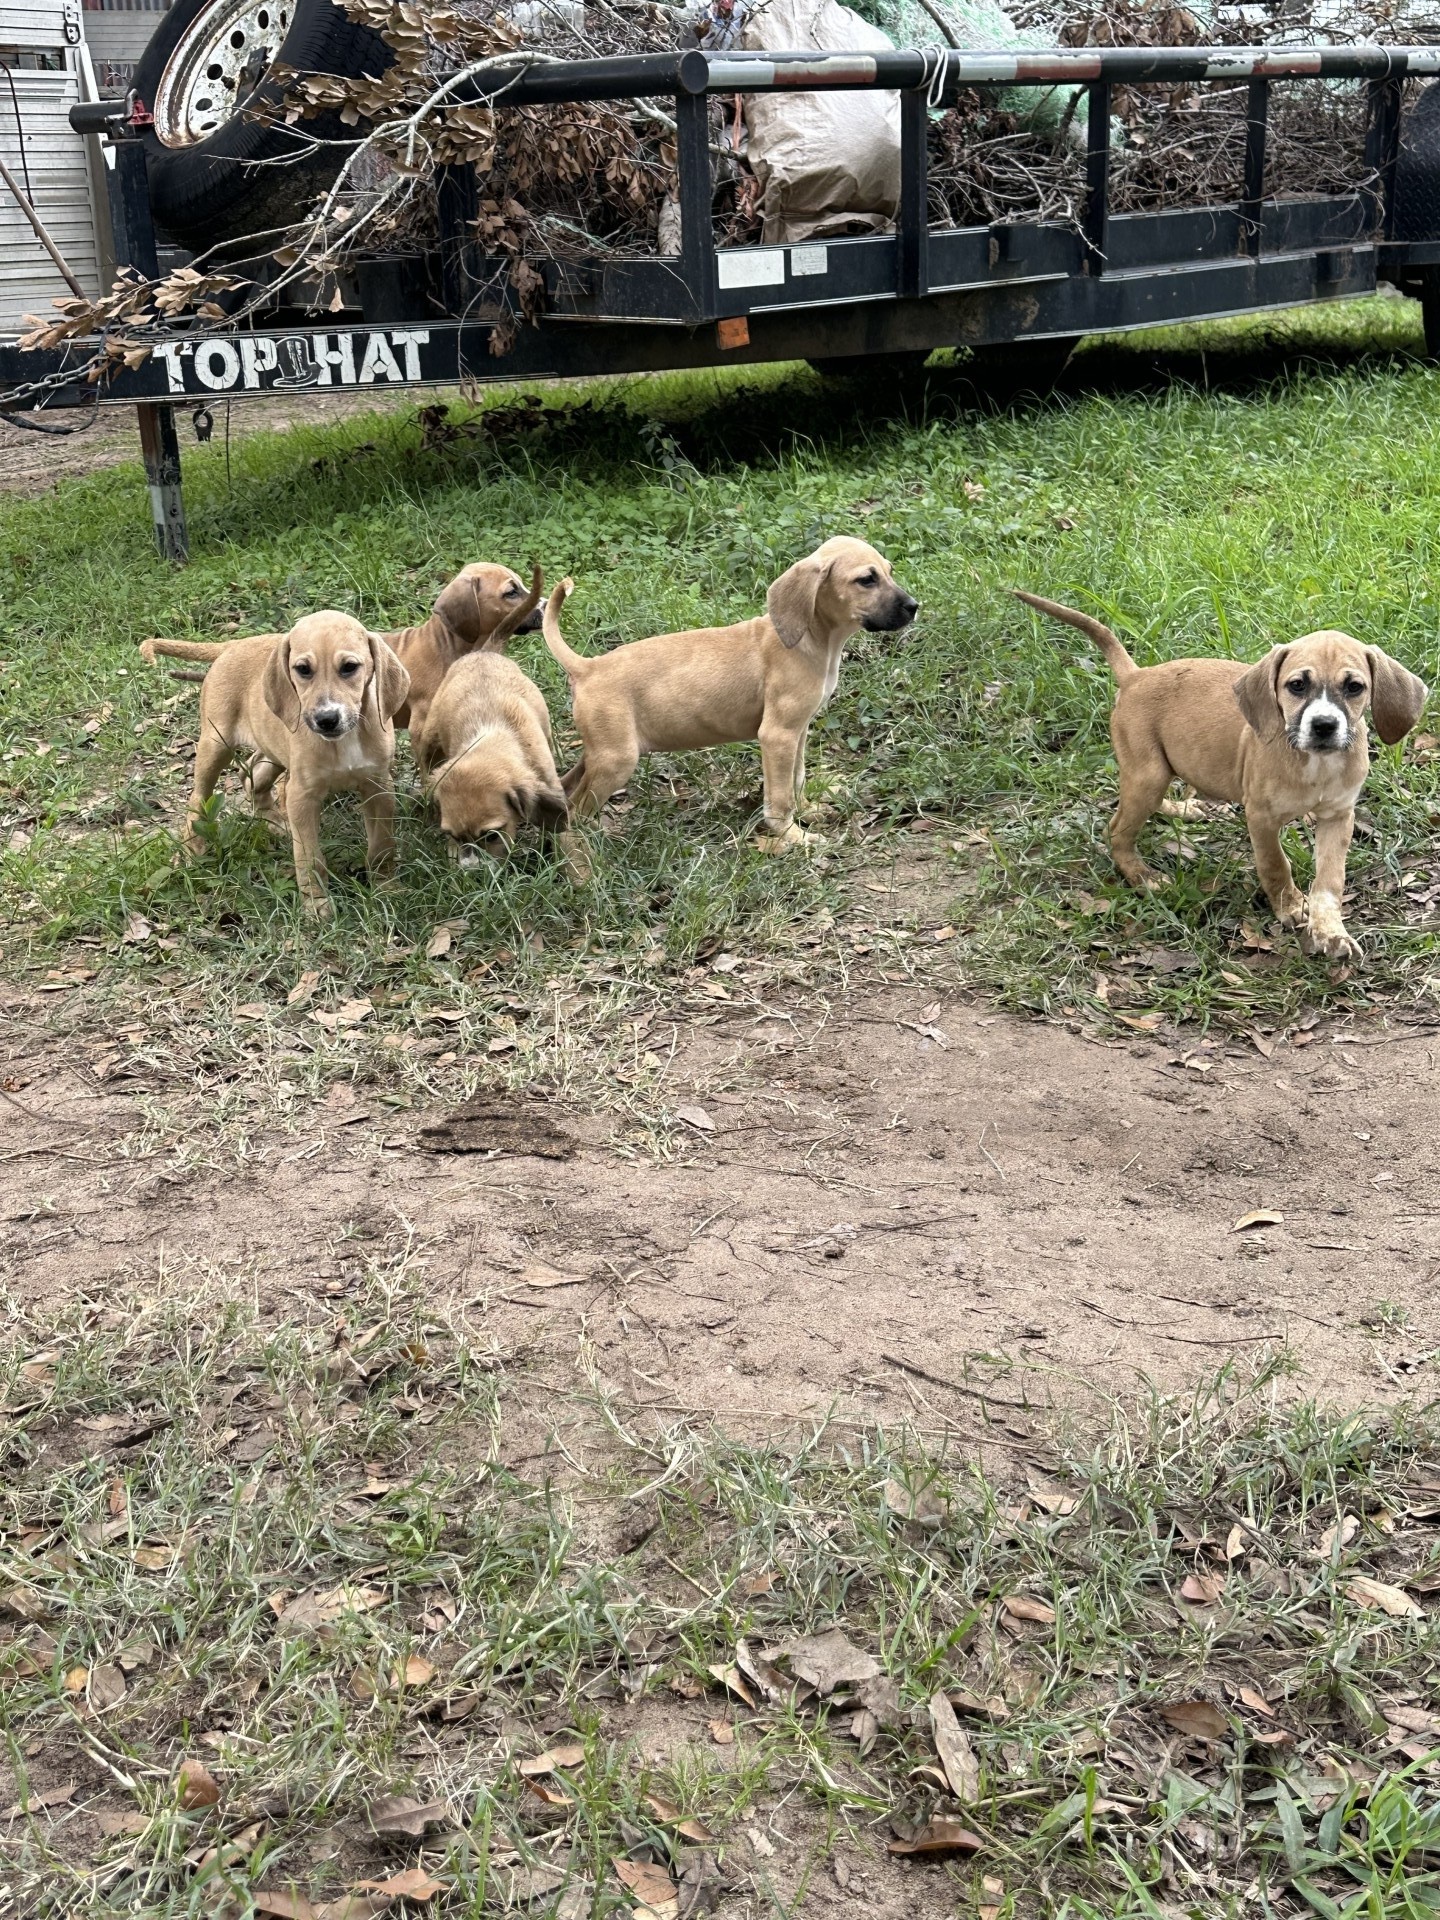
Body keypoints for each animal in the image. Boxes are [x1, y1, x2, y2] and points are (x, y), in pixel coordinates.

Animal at [141, 614, 408, 913]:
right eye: (303, 670)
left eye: (349, 667)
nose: (326, 719)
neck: (344, 740)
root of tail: (233, 645)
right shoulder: (302, 797)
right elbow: (309, 857)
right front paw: (316, 903)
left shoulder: (378, 787)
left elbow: (383, 844)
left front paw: (385, 887)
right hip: (216, 743)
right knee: (199, 796)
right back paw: (193, 848)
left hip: (273, 749)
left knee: (252, 775)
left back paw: (273, 821)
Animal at [1013, 591, 1436, 960]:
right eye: (1297, 685)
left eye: (1355, 687)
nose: (1324, 725)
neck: (1312, 764)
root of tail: (1136, 676)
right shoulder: (1261, 817)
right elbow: (1275, 865)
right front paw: (1289, 906)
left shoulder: (1338, 816)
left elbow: (1329, 882)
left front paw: (1330, 931)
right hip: (1147, 774)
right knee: (1117, 830)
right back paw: (1142, 875)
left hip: (1156, 773)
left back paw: (1183, 810)